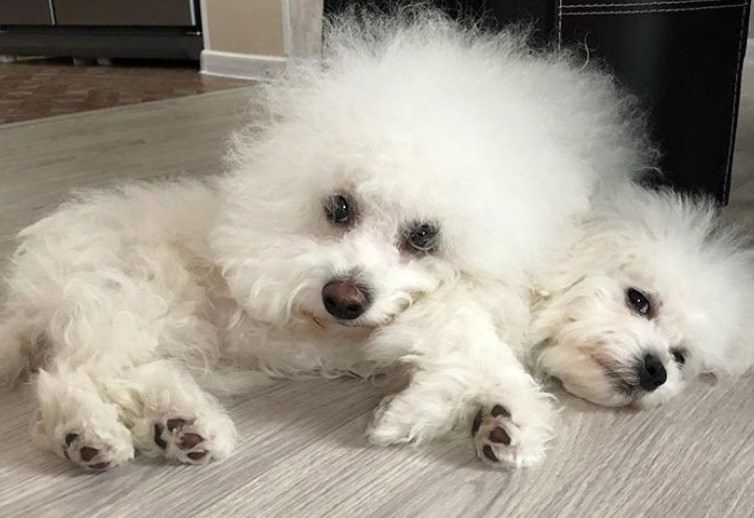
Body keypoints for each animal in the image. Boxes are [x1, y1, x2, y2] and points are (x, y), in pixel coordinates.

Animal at [1, 10, 748, 474]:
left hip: (175, 337)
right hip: (136, 303)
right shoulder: (448, 317)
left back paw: (185, 428)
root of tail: (28, 277)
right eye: (639, 299)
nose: (654, 371)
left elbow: (479, 379)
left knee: (138, 375)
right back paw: (88, 435)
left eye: (681, 356)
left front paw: (495, 425)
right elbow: (481, 363)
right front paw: (453, 418)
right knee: (71, 377)